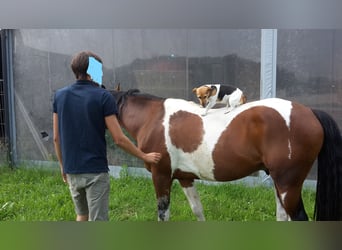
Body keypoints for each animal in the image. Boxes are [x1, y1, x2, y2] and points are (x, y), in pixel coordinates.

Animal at [110, 88, 342, 221]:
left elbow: (163, 213)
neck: (153, 119)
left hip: (288, 185)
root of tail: (310, 112)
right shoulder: (185, 178)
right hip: (280, 184)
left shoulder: (161, 175)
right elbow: (197, 210)